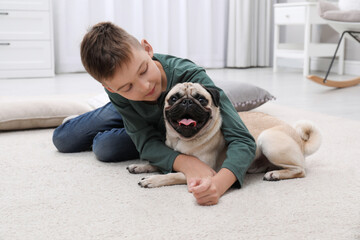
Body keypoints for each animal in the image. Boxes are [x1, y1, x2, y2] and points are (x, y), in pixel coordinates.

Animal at [128, 82, 322, 188]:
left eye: (201, 99)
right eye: (174, 99)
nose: (187, 102)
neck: (182, 140)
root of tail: (299, 140)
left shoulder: (205, 171)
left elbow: (172, 175)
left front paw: (153, 180)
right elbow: (158, 163)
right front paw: (140, 166)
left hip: (268, 140)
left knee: (300, 170)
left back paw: (275, 174)